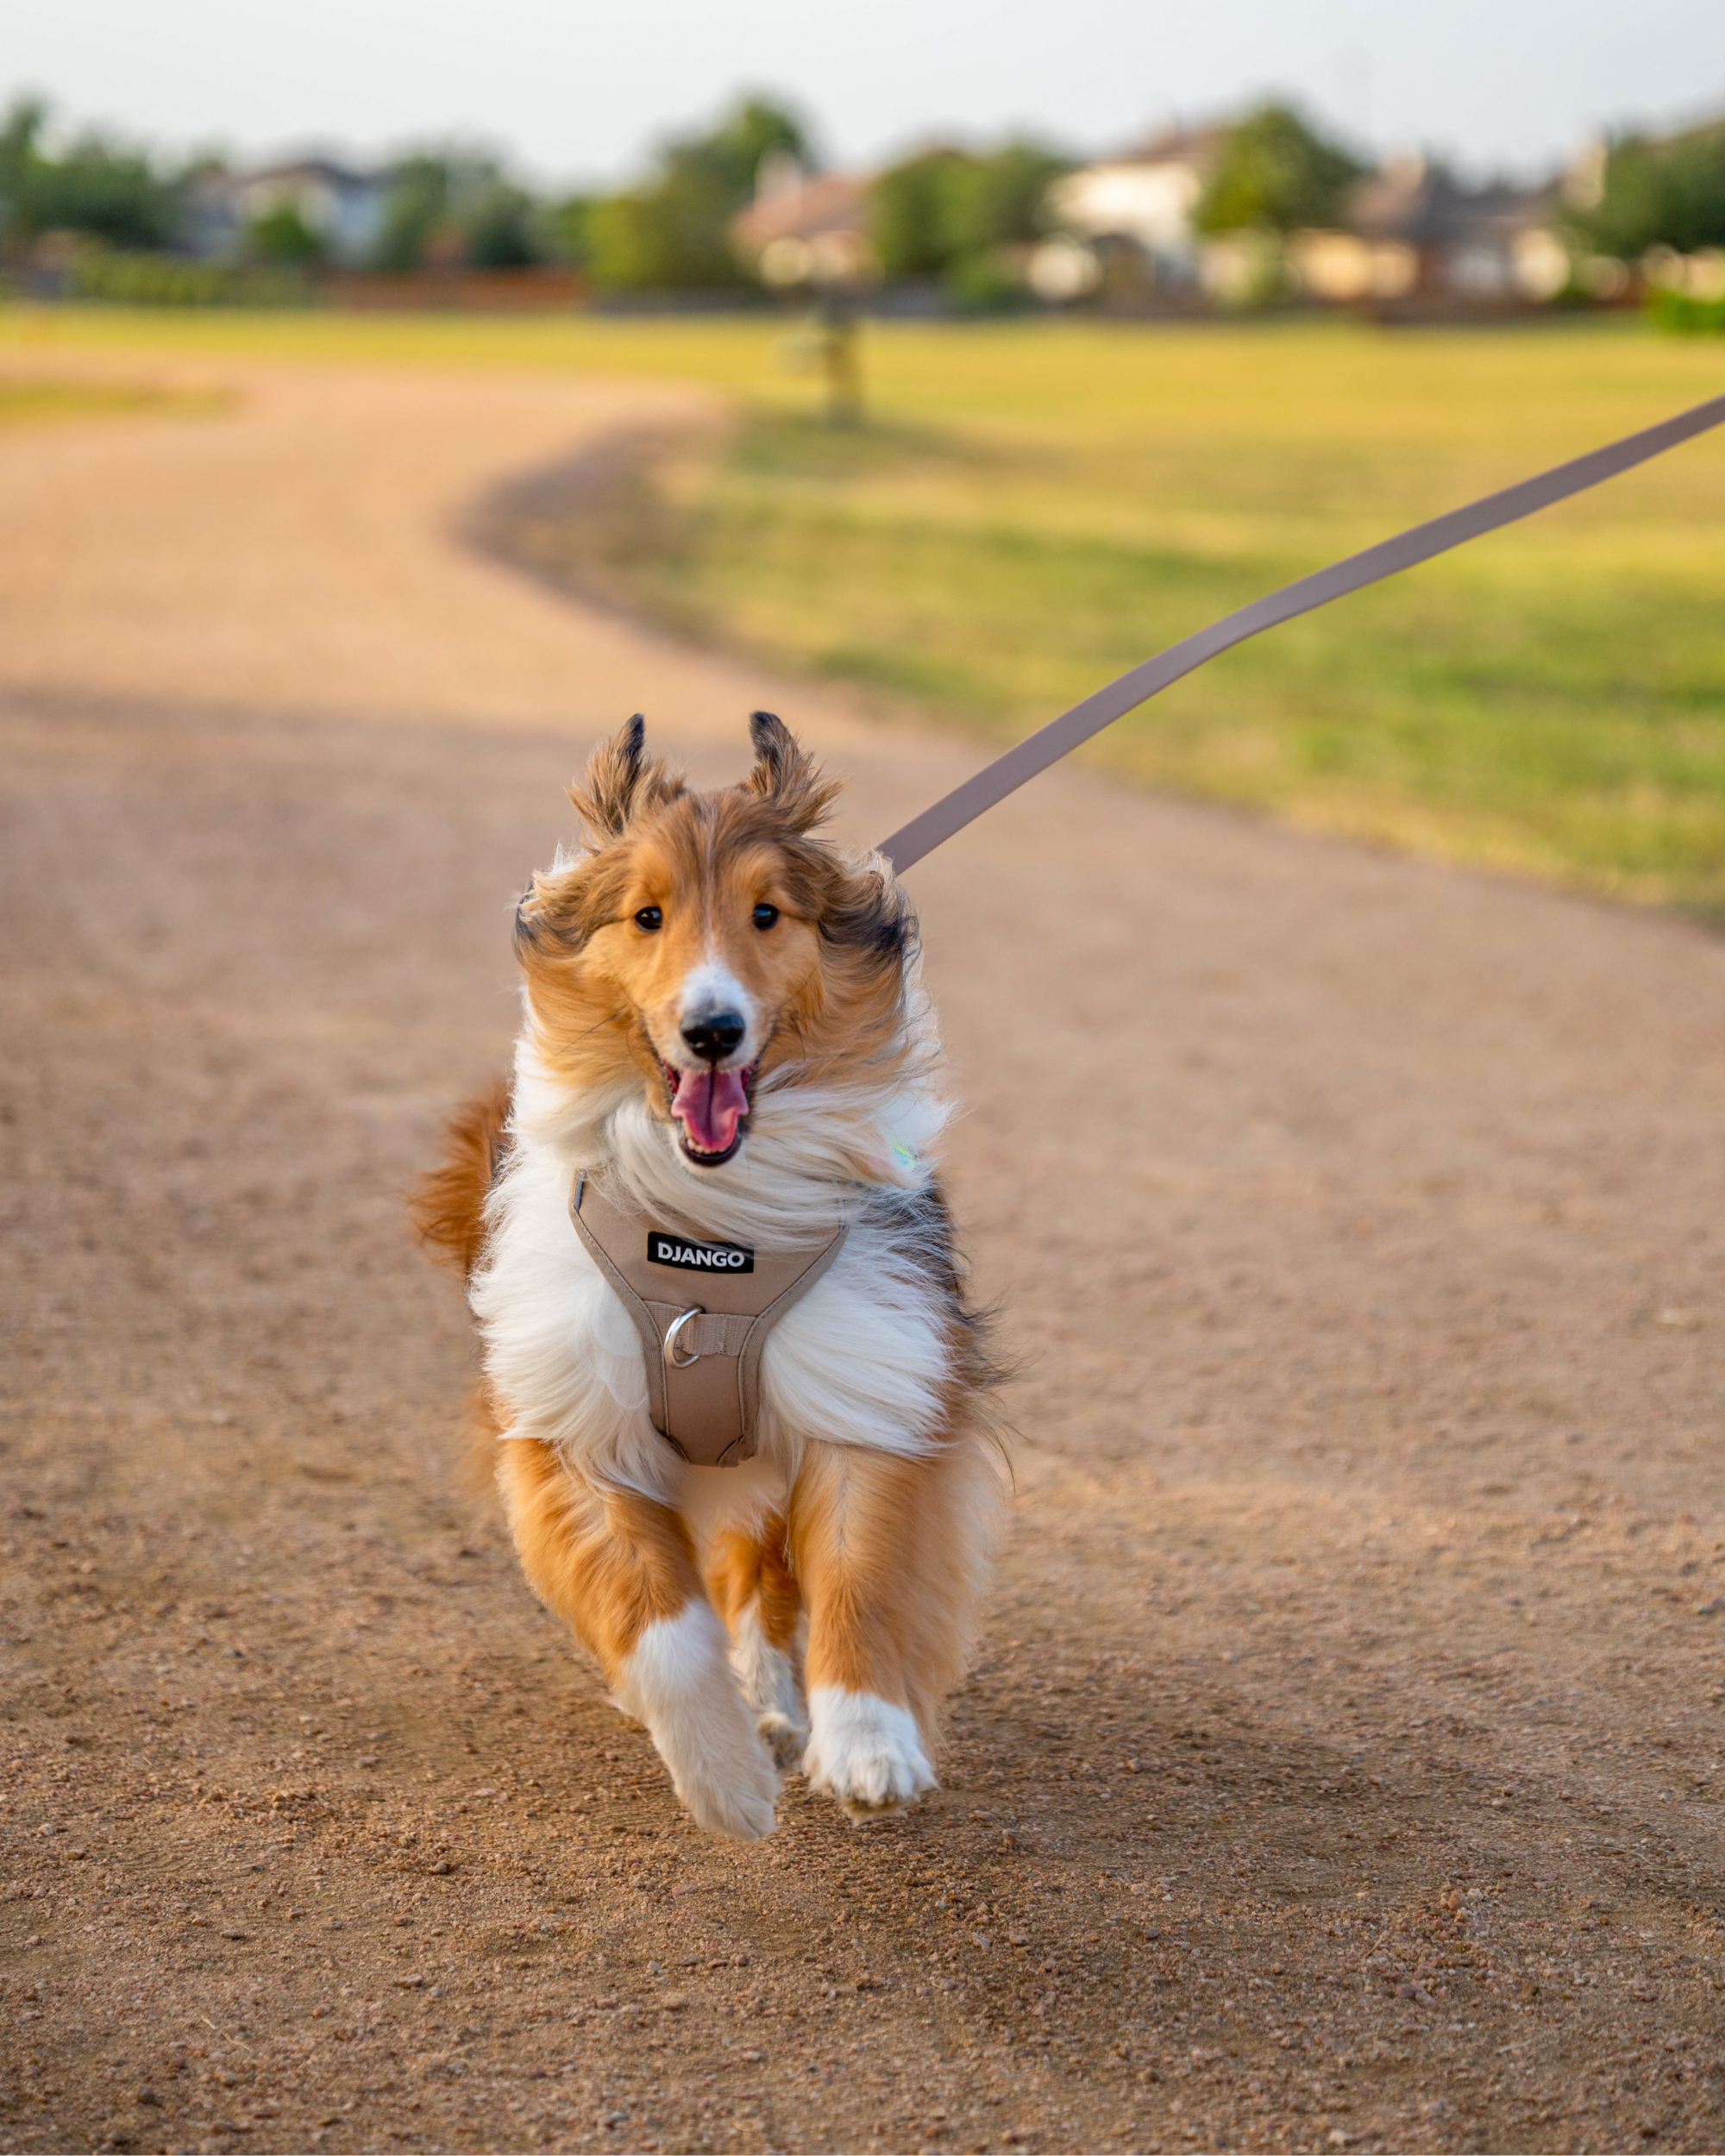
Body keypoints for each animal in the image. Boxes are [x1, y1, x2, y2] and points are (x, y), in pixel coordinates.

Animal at [414, 711, 996, 1837]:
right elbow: (658, 1621)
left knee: (760, 1577)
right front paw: (722, 1778)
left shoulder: (866, 1385)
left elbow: (859, 1576)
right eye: (646, 916)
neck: (708, 1226)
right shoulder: (573, 1426)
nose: (712, 1030)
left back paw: (775, 1697)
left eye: (767, 913)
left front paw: (867, 1745)